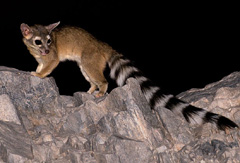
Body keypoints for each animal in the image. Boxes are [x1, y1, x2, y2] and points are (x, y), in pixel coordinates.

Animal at [20, 22, 238, 131]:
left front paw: (39, 74)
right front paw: (37, 69)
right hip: (85, 64)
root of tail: (102, 45)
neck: (39, 49)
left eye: (49, 41)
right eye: (39, 41)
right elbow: (40, 62)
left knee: (101, 78)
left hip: (89, 59)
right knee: (90, 76)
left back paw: (101, 89)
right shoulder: (40, 55)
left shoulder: (53, 56)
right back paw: (91, 88)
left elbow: (50, 65)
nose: (46, 49)